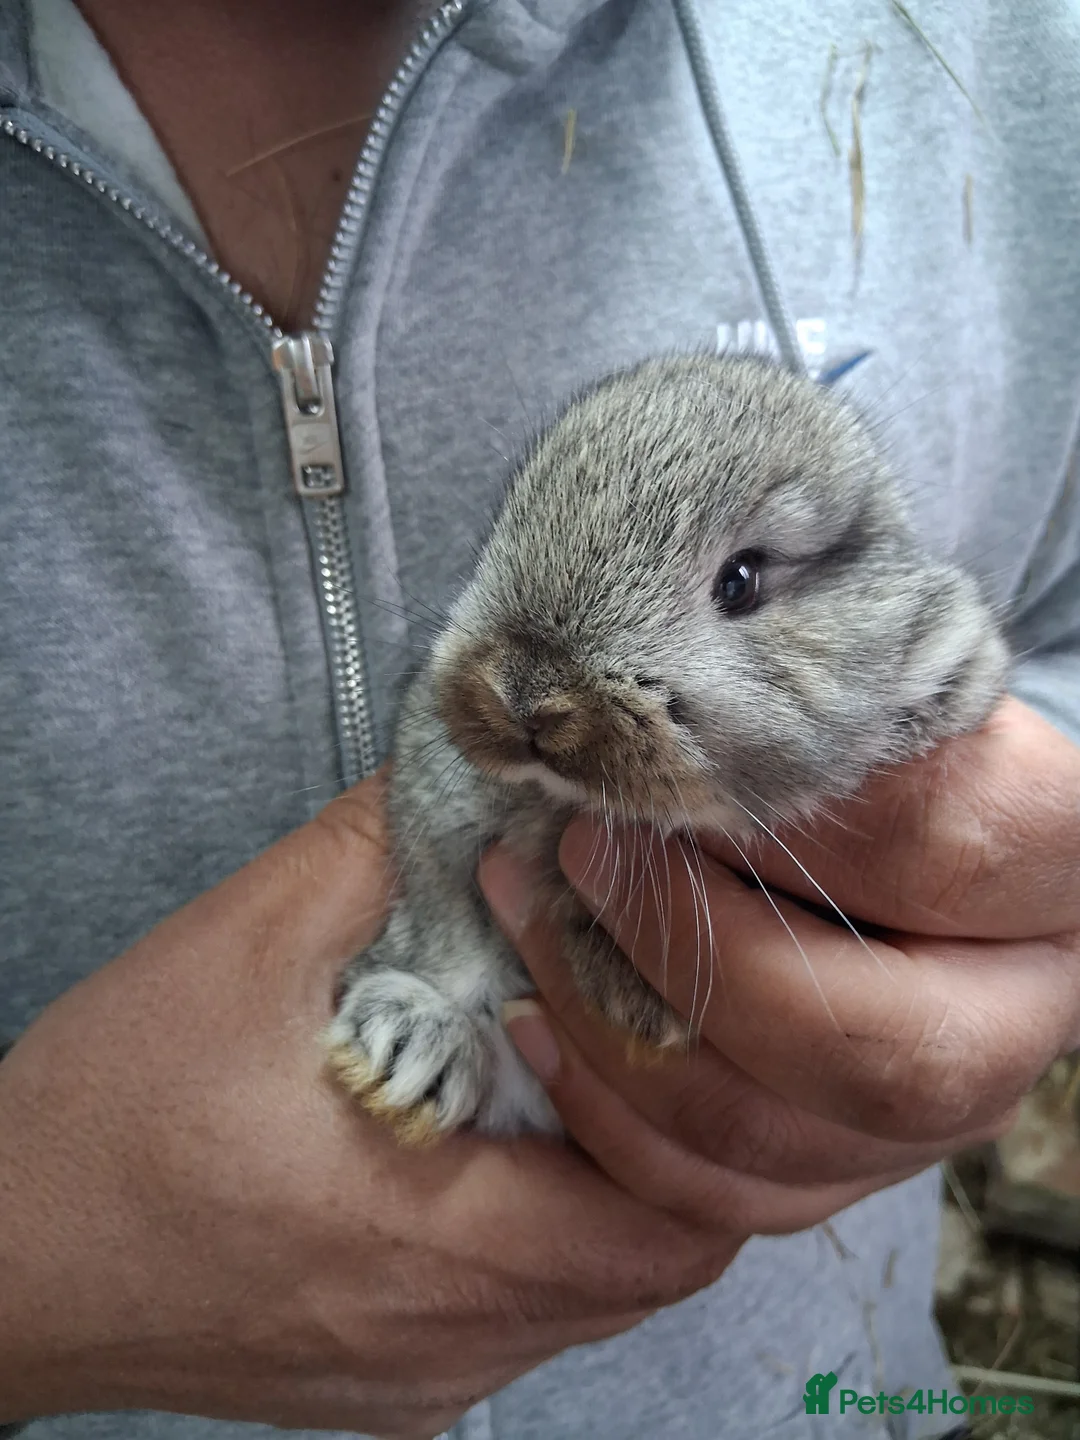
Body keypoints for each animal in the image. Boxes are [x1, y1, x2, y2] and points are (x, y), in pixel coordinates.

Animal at [324, 354, 1009, 1141]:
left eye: (740, 580)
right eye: (510, 516)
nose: (525, 696)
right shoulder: (439, 827)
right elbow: (447, 925)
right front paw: (409, 1036)